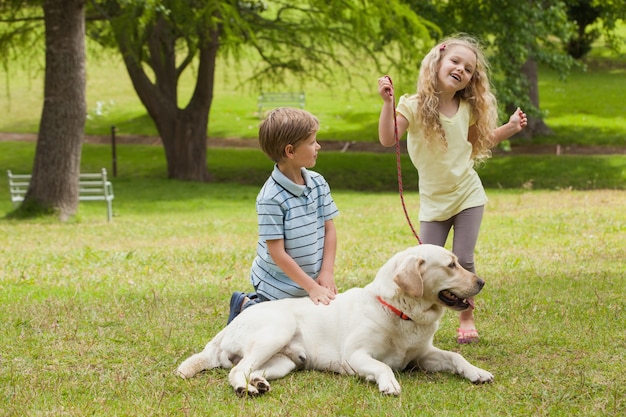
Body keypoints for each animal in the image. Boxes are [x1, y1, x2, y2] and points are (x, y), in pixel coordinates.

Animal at [176, 245, 492, 394]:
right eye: (451, 265)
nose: (481, 282)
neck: (399, 310)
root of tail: (229, 325)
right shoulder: (355, 355)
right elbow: (382, 366)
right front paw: (388, 384)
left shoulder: (423, 355)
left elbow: (455, 356)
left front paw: (476, 372)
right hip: (278, 329)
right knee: (235, 371)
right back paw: (245, 389)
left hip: (284, 362)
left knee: (249, 369)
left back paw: (258, 383)